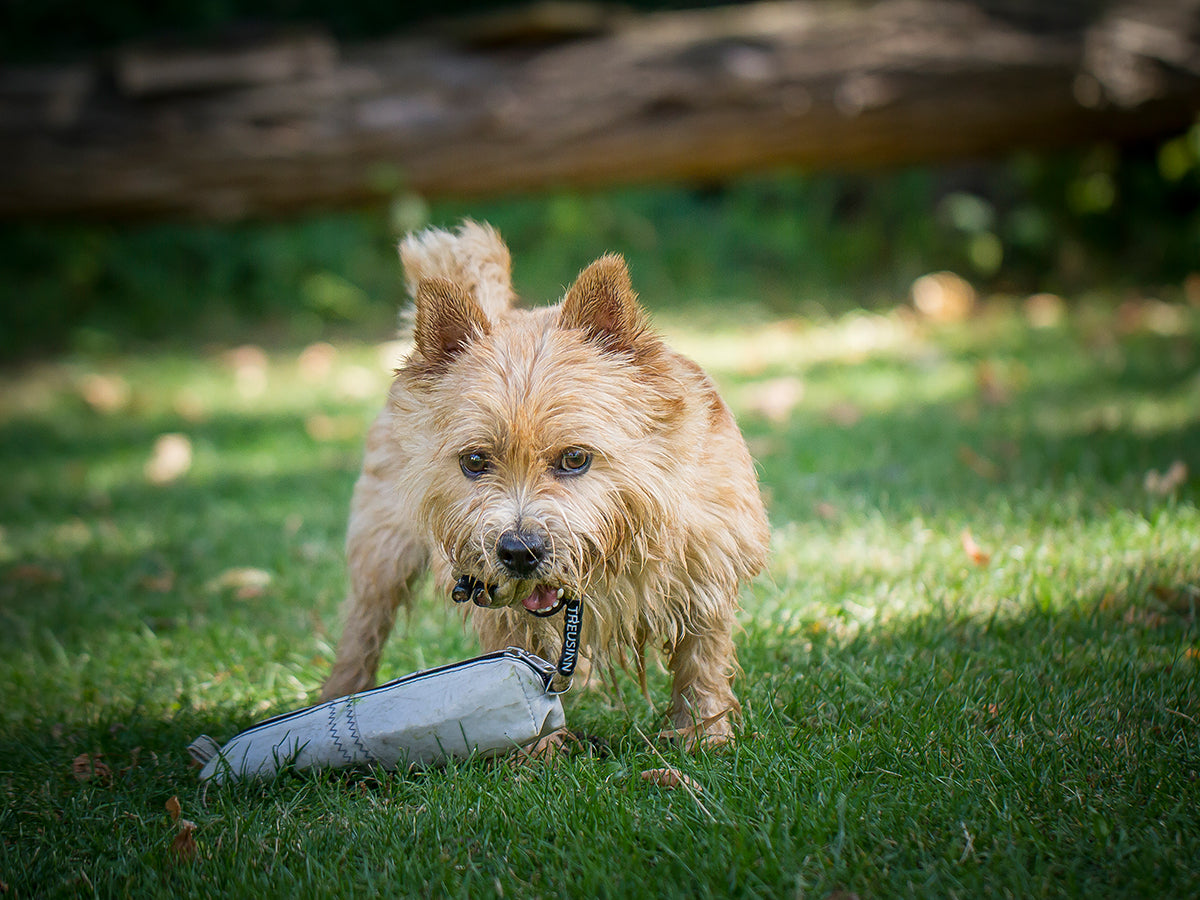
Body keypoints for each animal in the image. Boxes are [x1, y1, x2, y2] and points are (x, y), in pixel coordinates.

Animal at [321, 220, 768, 748]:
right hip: (381, 550)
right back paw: (339, 699)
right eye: (475, 461)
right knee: (362, 627)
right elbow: (516, 673)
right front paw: (538, 753)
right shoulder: (502, 614)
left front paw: (705, 735)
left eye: (575, 458)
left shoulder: (707, 576)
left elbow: (701, 662)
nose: (518, 552)